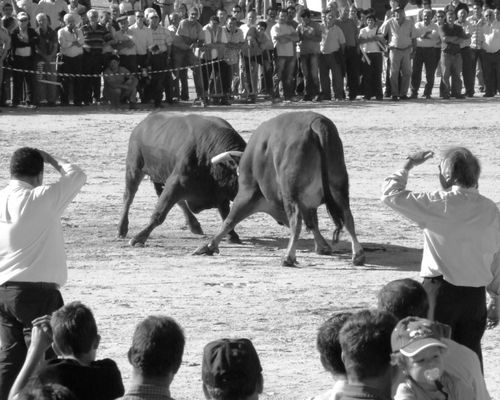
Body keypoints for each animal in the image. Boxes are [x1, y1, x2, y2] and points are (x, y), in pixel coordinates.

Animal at [193, 111, 366, 266]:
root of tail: (317, 124)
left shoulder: (247, 192)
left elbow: (230, 220)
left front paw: (209, 246)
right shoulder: (307, 203)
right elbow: (312, 222)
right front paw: (322, 246)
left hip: (290, 193)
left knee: (296, 222)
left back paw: (288, 257)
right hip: (339, 189)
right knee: (347, 216)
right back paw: (358, 255)